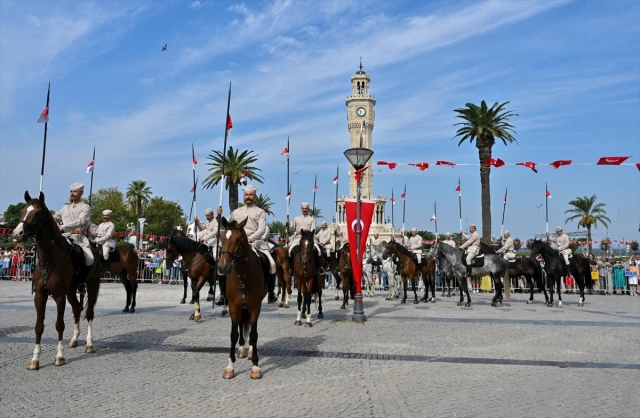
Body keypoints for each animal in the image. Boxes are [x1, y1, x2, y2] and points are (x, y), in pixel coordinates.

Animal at [11, 191, 100, 370]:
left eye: (38, 213)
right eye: (23, 210)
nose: (17, 234)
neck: (49, 259)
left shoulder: (59, 296)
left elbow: (59, 324)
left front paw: (59, 356)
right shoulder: (40, 295)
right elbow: (39, 326)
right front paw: (35, 360)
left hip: (92, 287)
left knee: (89, 313)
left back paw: (89, 344)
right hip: (71, 291)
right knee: (77, 309)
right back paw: (74, 339)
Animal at [215, 216, 264, 378]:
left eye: (238, 239)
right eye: (221, 237)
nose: (222, 267)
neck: (243, 275)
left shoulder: (255, 306)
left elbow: (254, 335)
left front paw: (255, 366)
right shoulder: (233, 306)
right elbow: (234, 334)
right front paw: (230, 366)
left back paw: (249, 351)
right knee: (242, 325)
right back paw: (242, 350)